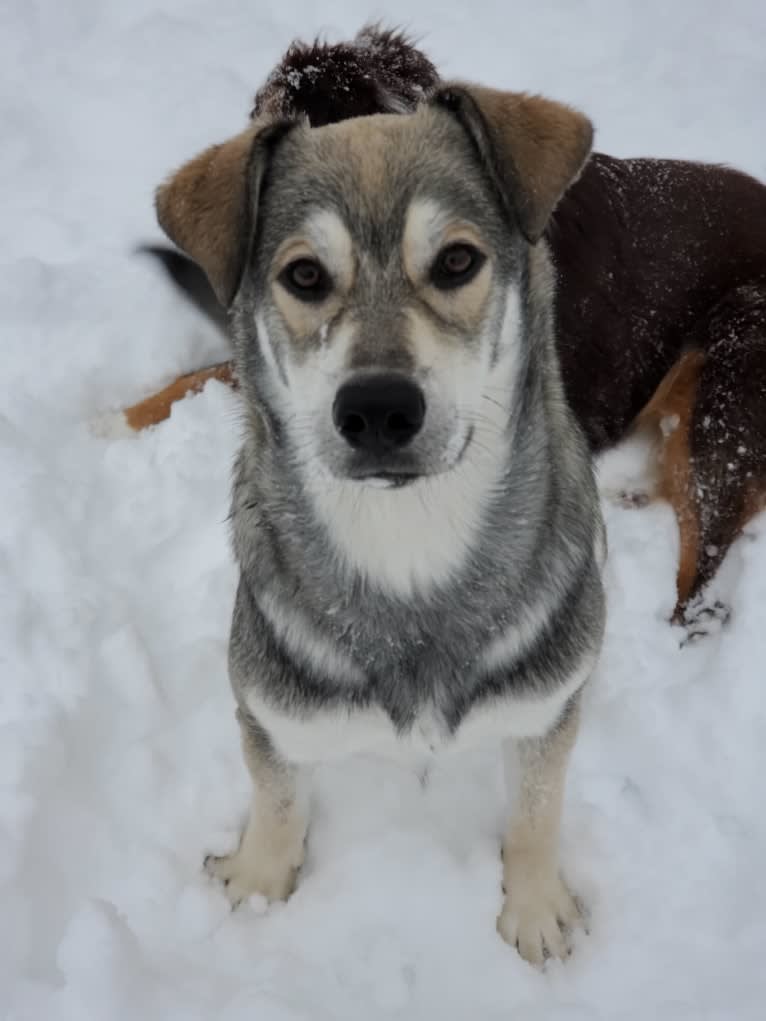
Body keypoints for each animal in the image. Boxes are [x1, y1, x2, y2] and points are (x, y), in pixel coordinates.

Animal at [157, 81, 604, 963]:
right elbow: (278, 798)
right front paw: (259, 884)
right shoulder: (271, 707)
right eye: (304, 274)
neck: (409, 544)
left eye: (457, 260)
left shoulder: (550, 702)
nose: (377, 407)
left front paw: (535, 907)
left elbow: (537, 808)